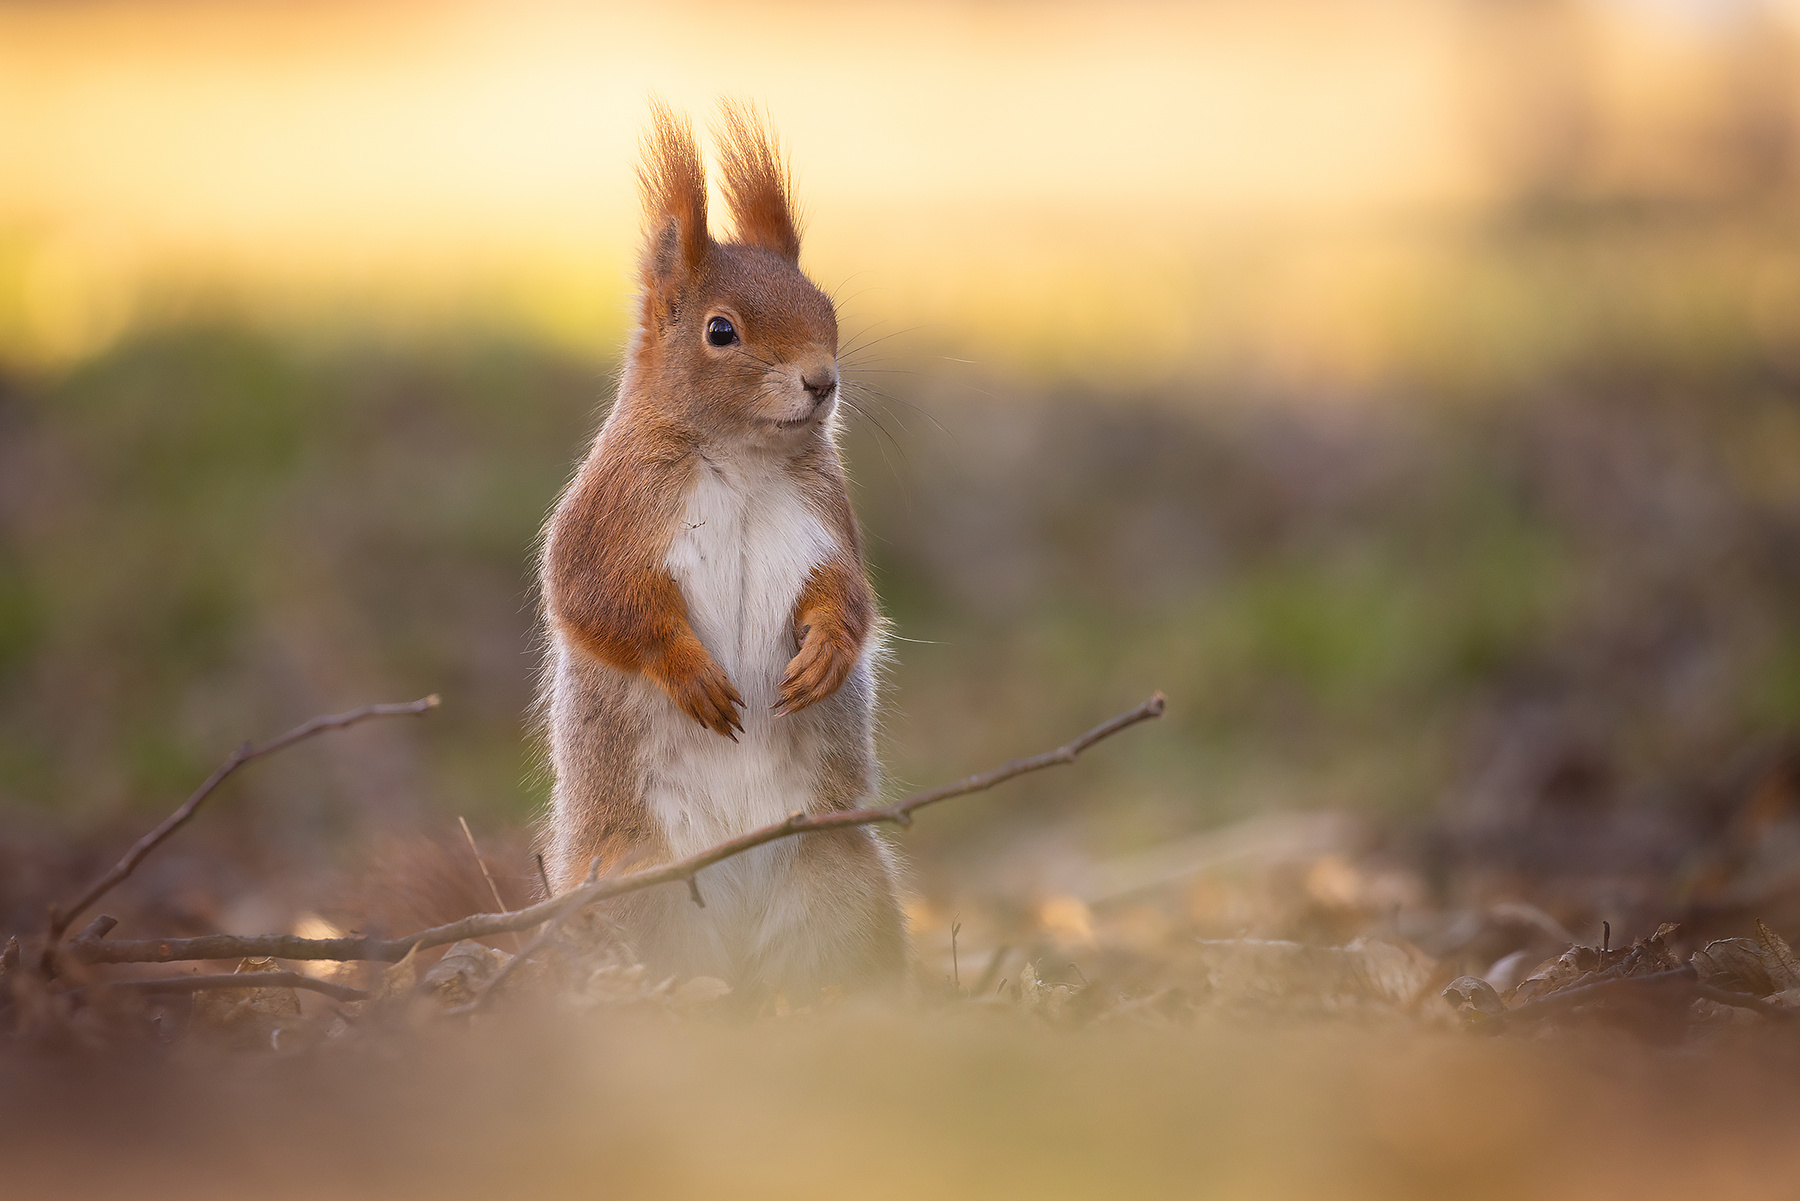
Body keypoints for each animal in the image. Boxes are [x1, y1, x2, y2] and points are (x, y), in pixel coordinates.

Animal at [536, 101, 906, 995]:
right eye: (721, 331)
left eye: (826, 305)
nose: (822, 379)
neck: (741, 459)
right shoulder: (611, 517)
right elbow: (596, 599)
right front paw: (687, 672)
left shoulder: (824, 520)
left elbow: (850, 596)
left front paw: (826, 653)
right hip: (632, 885)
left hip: (837, 869)